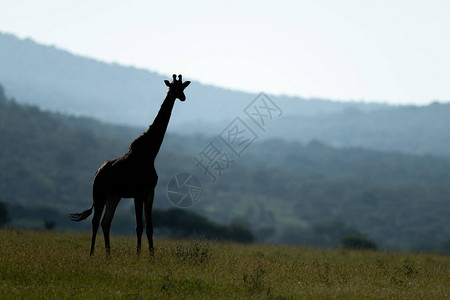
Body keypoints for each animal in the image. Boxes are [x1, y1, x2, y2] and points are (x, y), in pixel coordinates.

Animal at [70, 74, 190, 254]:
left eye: (182, 87)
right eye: (172, 87)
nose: (182, 97)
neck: (150, 154)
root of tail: (97, 171)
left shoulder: (149, 192)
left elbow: (149, 227)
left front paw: (152, 256)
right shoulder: (138, 193)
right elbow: (139, 227)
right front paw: (139, 255)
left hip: (114, 196)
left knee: (106, 222)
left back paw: (108, 255)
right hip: (99, 194)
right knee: (95, 221)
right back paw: (91, 254)